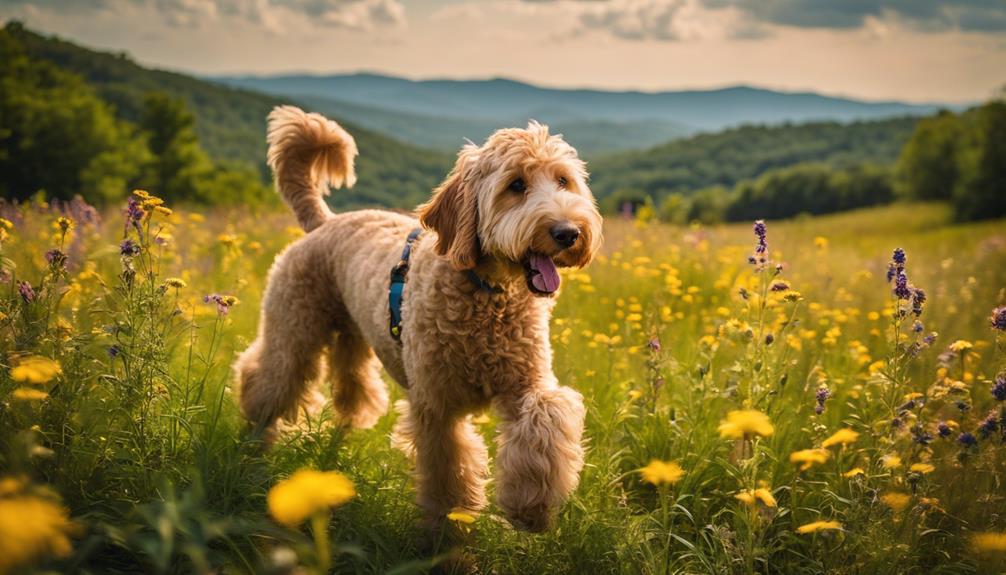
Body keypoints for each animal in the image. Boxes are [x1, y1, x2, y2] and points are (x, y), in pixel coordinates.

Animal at [231, 105, 599, 530]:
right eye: (516, 185)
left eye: (563, 180)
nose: (568, 232)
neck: (486, 296)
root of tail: (326, 222)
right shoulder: (436, 406)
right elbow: (447, 469)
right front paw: (449, 529)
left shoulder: (525, 383)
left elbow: (547, 416)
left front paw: (531, 508)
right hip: (293, 333)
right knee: (264, 379)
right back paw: (254, 445)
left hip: (353, 335)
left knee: (351, 382)